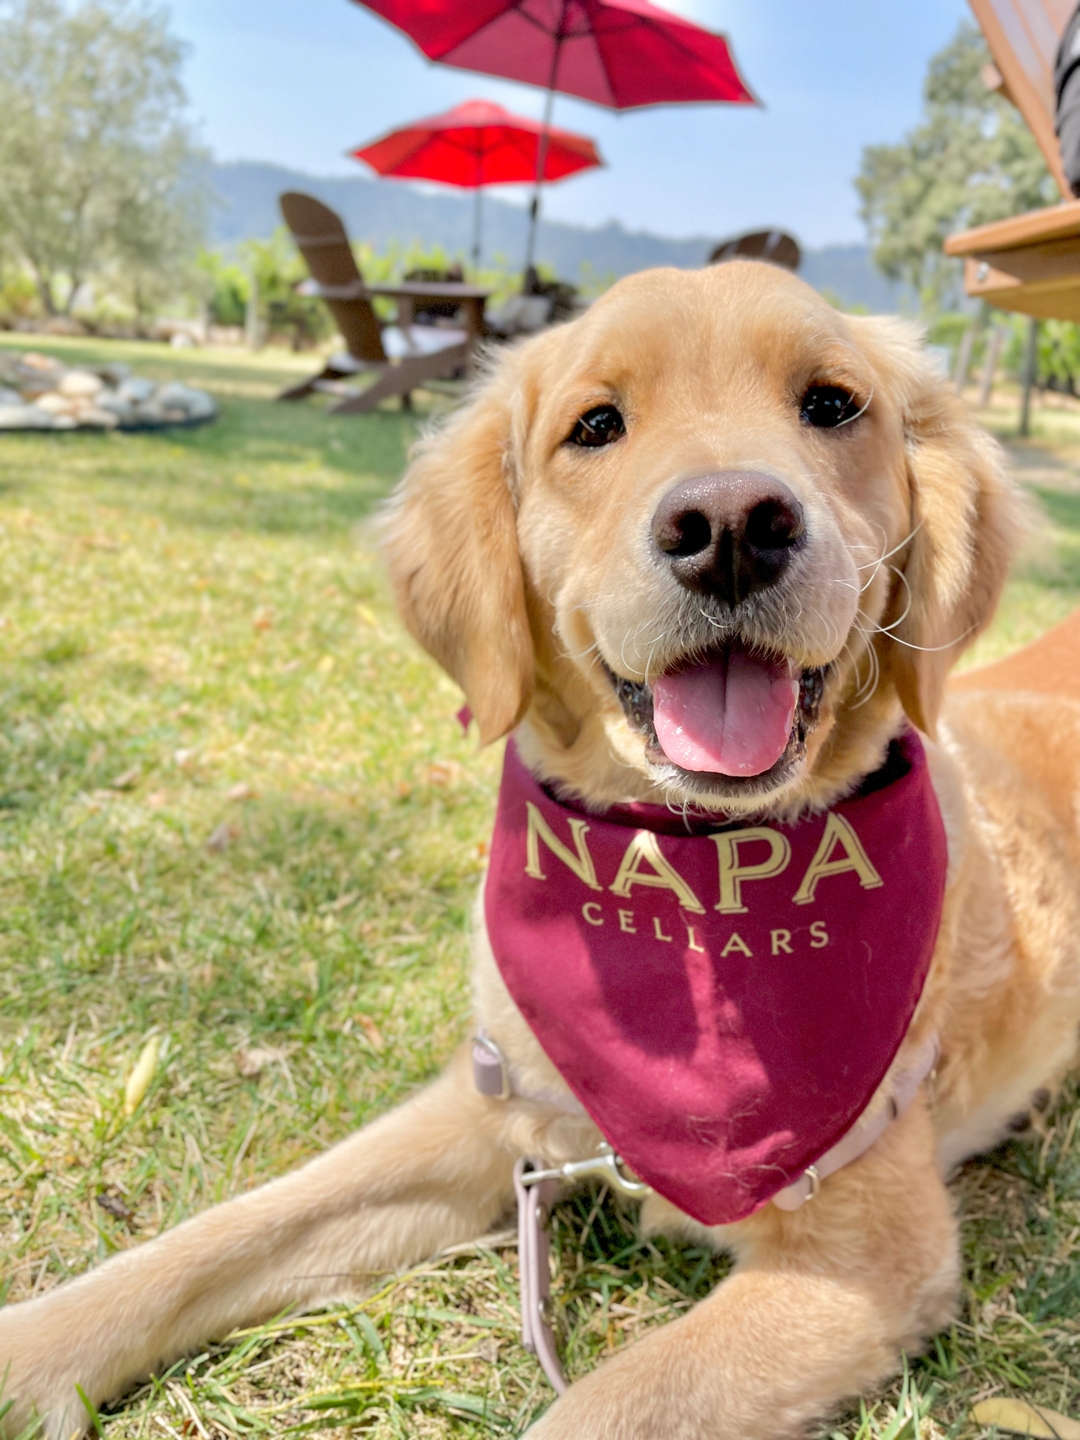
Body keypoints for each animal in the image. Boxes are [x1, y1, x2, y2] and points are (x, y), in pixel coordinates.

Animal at [2, 259, 1080, 1440]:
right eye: (595, 426)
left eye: (834, 405)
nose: (732, 525)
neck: (686, 886)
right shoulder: (487, 1109)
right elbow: (216, 1235)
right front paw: (30, 1349)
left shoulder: (868, 1256)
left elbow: (597, 1411)